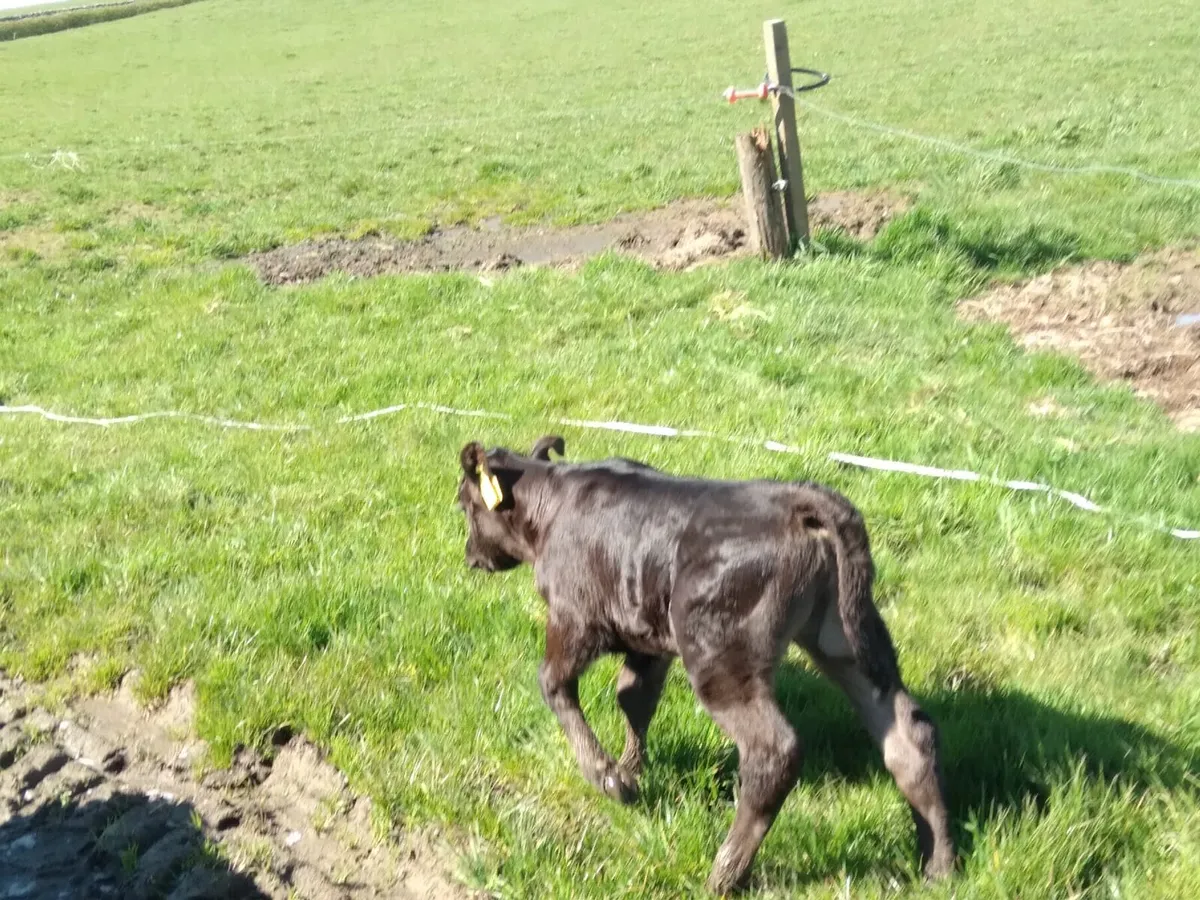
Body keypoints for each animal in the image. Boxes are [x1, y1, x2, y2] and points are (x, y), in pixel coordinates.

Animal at [456, 435, 954, 893]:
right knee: (909, 735)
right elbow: (634, 698)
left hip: (720, 654)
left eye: (464, 505)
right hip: (844, 638)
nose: (470, 556)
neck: (553, 505)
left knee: (773, 753)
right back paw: (939, 865)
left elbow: (554, 685)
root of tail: (795, 501)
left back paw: (724, 875)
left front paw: (609, 778)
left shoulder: (574, 617)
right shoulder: (647, 637)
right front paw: (633, 771)